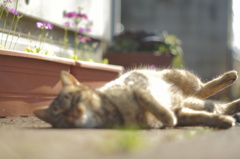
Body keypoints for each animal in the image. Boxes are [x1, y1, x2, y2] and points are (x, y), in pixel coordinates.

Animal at [33, 68, 240, 129]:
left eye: (76, 100)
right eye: (61, 116)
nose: (75, 112)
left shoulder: (139, 91)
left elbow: (158, 108)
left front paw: (167, 118)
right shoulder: (181, 111)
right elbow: (201, 117)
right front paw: (222, 122)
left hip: (187, 81)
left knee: (205, 88)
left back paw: (231, 76)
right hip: (192, 101)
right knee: (216, 106)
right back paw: (234, 109)